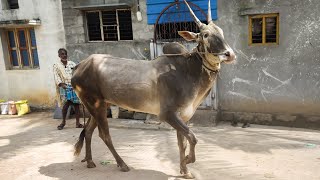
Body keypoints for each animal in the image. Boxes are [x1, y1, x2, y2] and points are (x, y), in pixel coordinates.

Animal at [72, 0, 235, 179]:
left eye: (221, 32)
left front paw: (184, 170)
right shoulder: (167, 114)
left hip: (99, 106)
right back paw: (122, 164)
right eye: (205, 35)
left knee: (88, 131)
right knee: (104, 135)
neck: (187, 70)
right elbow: (193, 138)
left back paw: (89, 161)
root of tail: (80, 66)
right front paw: (187, 161)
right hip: (95, 105)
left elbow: (183, 142)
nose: (229, 54)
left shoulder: (184, 116)